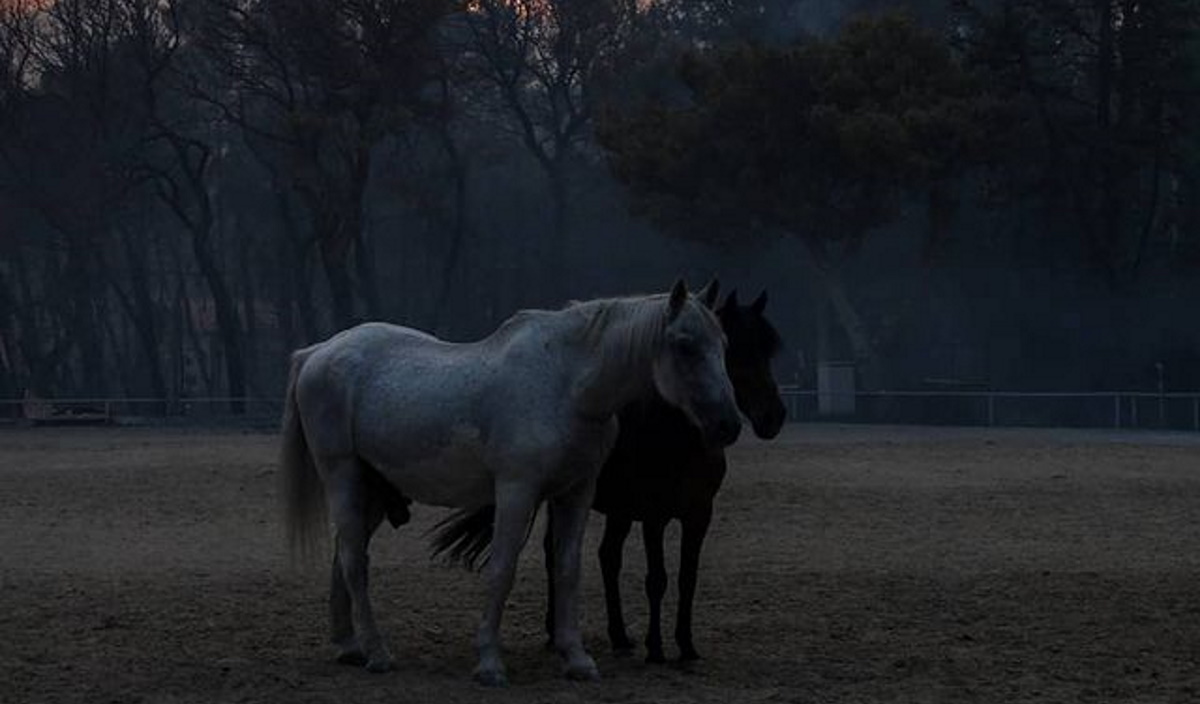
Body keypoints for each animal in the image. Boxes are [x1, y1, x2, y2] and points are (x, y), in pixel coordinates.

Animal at [278, 279, 739, 681]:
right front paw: (489, 663)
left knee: (344, 556)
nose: (728, 425)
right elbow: (502, 568)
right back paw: (377, 653)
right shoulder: (517, 491)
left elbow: (567, 570)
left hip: (372, 490)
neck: (567, 385)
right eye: (685, 345)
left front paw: (576, 659)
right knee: (355, 561)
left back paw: (350, 646)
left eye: (723, 344)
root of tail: (320, 351)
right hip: (343, 477)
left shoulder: (575, 494)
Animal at [432, 284, 787, 662]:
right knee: (557, 555)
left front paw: (686, 646)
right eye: (739, 349)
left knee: (607, 556)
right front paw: (656, 649)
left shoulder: (698, 514)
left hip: (617, 510)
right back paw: (556, 632)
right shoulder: (654, 516)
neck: (676, 439)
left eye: (767, 350)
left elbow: (687, 578)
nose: (774, 417)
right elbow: (657, 578)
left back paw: (618, 635)